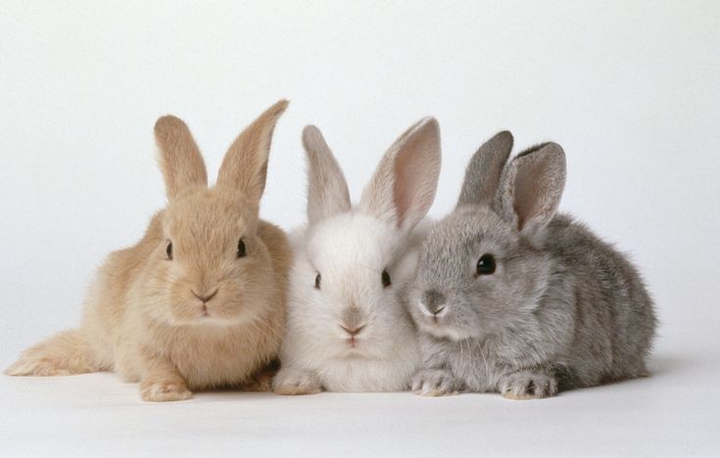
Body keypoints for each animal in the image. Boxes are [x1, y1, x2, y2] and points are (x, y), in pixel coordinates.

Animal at [5, 100, 293, 401]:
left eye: (241, 246)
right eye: (169, 248)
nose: (203, 293)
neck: (209, 329)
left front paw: (258, 382)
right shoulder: (140, 340)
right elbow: (155, 363)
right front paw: (165, 392)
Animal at [408, 131, 657, 399]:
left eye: (486, 264)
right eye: (425, 252)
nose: (432, 304)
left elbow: (546, 368)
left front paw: (525, 386)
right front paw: (432, 383)